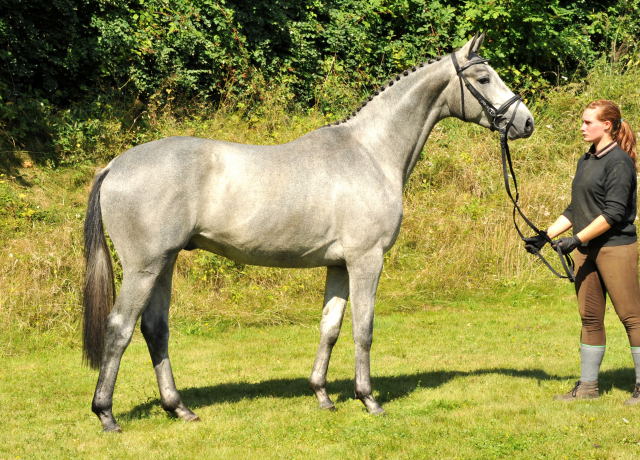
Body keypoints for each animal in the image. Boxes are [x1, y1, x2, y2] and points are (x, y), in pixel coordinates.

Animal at [84, 33, 536, 432]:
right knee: (120, 327)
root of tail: (115, 165)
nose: (526, 122)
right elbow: (363, 328)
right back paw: (106, 414)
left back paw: (179, 409)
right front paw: (368, 399)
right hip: (144, 267)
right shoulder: (366, 259)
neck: (371, 153)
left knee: (155, 329)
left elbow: (330, 327)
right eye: (483, 78)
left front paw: (322, 395)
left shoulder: (338, 265)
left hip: (165, 263)